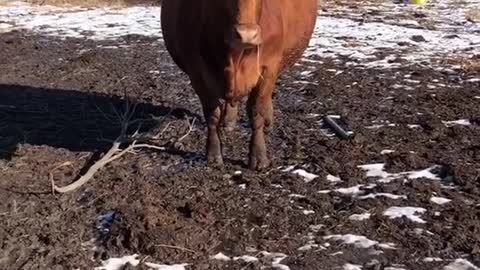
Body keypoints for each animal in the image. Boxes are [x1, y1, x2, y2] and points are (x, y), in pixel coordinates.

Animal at [161, 0, 318, 170]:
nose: (247, 34)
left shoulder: (269, 68)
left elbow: (256, 111)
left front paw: (259, 156)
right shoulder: (196, 72)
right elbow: (212, 114)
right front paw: (213, 154)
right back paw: (229, 121)